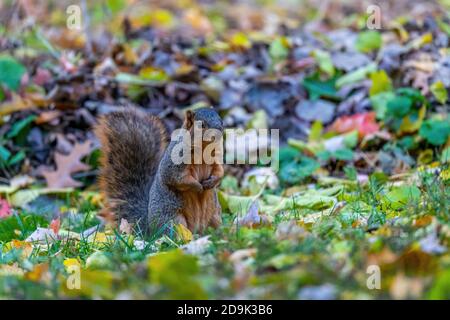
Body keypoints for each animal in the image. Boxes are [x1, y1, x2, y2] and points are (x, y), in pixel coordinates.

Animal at [94, 107, 223, 235]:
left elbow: (219, 171)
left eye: (220, 120)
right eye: (201, 125)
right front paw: (198, 186)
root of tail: (150, 229)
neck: (203, 150)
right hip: (173, 221)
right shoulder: (174, 163)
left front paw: (212, 182)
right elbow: (177, 178)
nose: (219, 130)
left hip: (215, 216)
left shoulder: (215, 160)